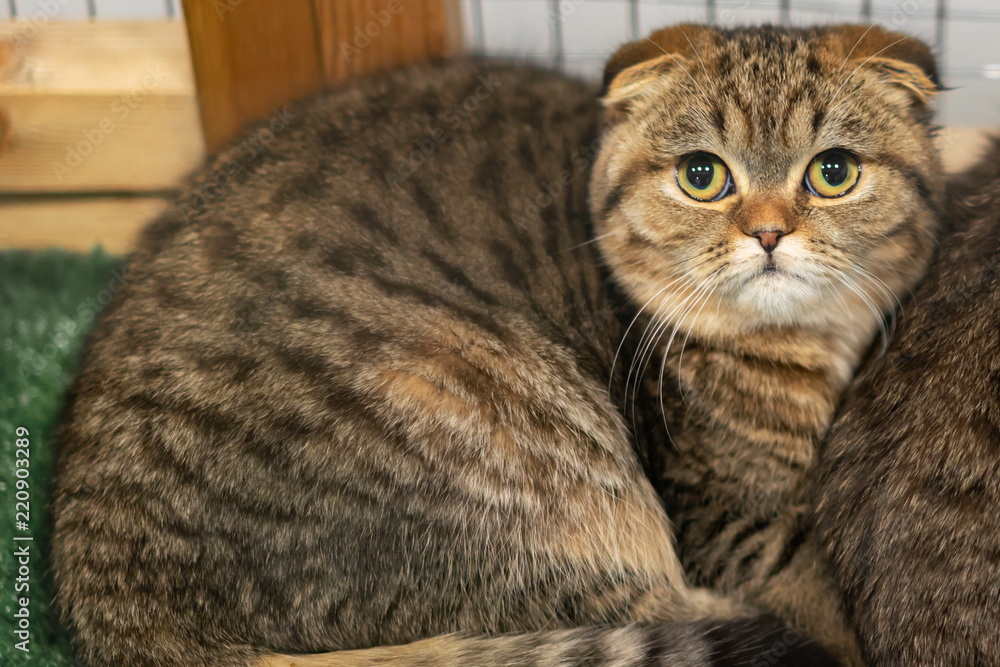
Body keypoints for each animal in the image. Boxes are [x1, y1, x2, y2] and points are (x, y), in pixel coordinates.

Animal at [54, 20, 944, 667]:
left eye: (833, 171)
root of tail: (121, 603)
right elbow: (817, 581)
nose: (767, 233)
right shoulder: (730, 528)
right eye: (702, 175)